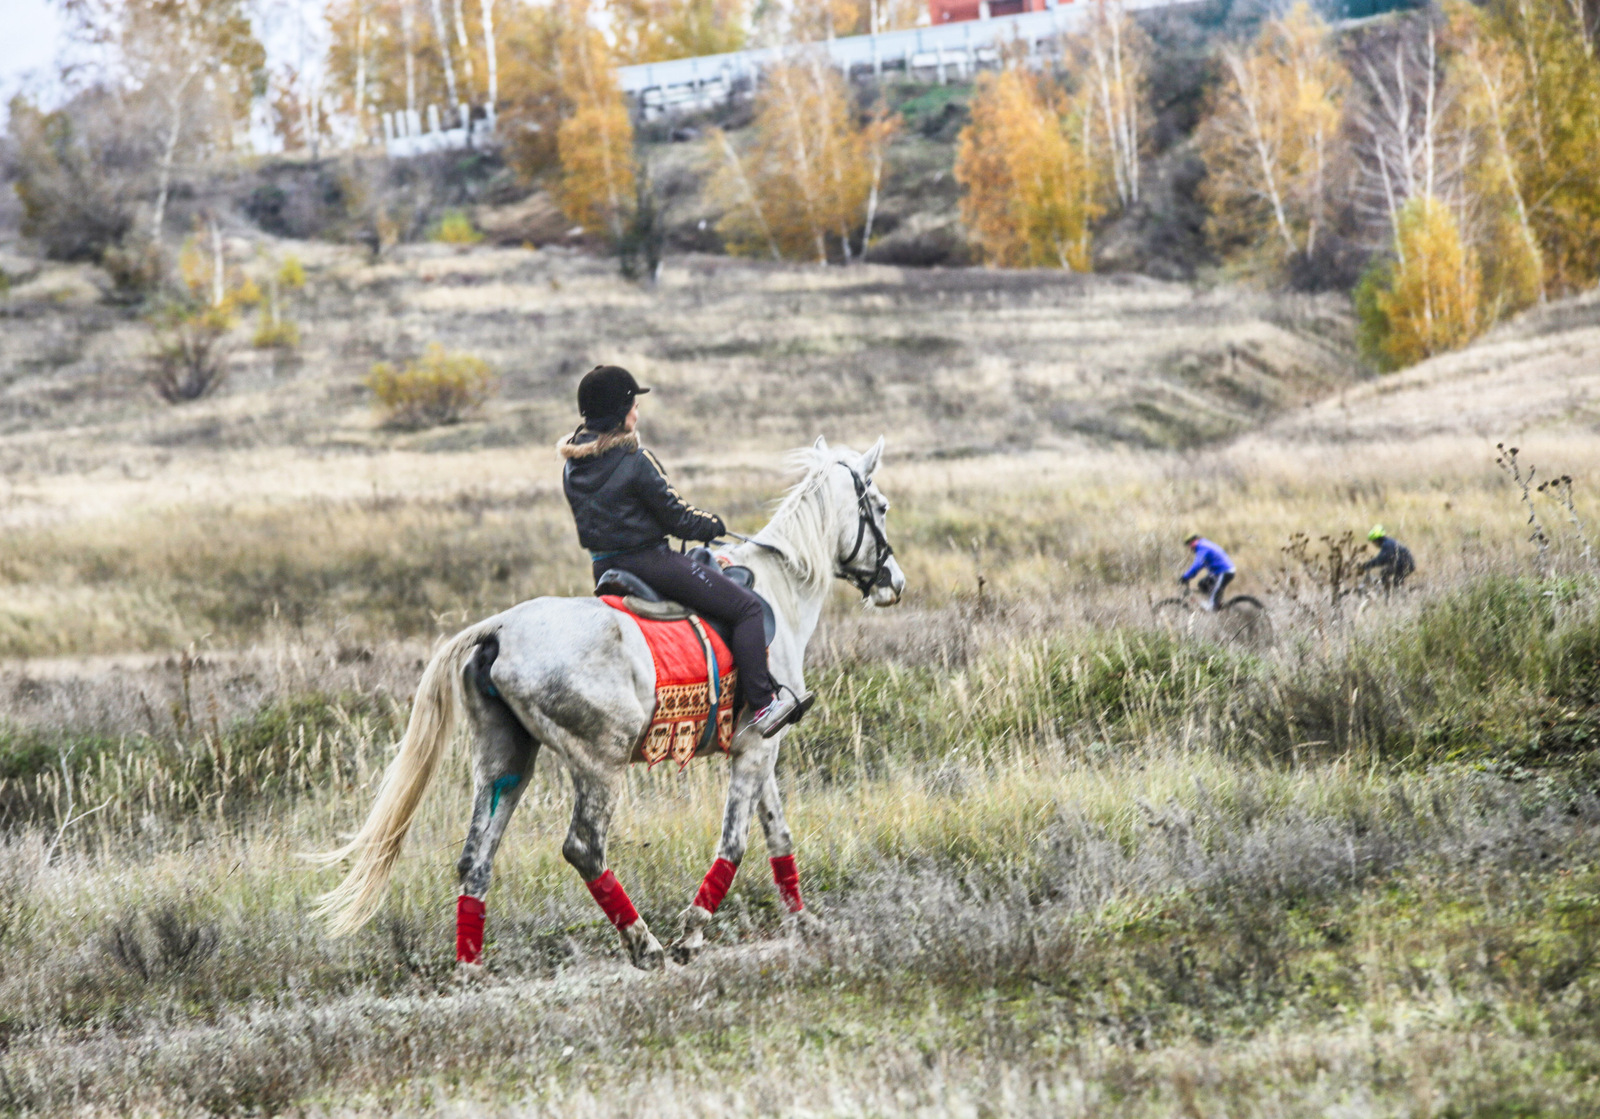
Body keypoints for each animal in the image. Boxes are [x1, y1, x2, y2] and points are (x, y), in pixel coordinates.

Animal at [315, 438, 902, 973]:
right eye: (880, 505)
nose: (894, 583)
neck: (780, 586)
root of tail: (499, 629)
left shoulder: (758, 748)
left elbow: (778, 833)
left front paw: (806, 924)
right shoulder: (757, 747)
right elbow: (734, 843)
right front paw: (692, 935)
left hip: (505, 763)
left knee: (475, 858)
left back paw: (470, 969)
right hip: (600, 762)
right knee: (583, 847)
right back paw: (646, 946)